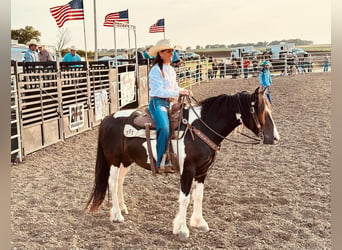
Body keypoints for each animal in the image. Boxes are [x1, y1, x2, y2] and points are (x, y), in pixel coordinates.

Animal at [85, 87, 278, 239]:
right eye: (260, 110)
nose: (275, 138)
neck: (201, 127)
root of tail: (108, 118)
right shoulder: (188, 170)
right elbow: (185, 198)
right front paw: (182, 229)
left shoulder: (202, 171)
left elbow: (198, 196)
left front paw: (199, 222)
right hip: (114, 160)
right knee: (111, 182)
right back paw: (117, 215)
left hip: (126, 161)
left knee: (119, 182)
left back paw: (122, 208)